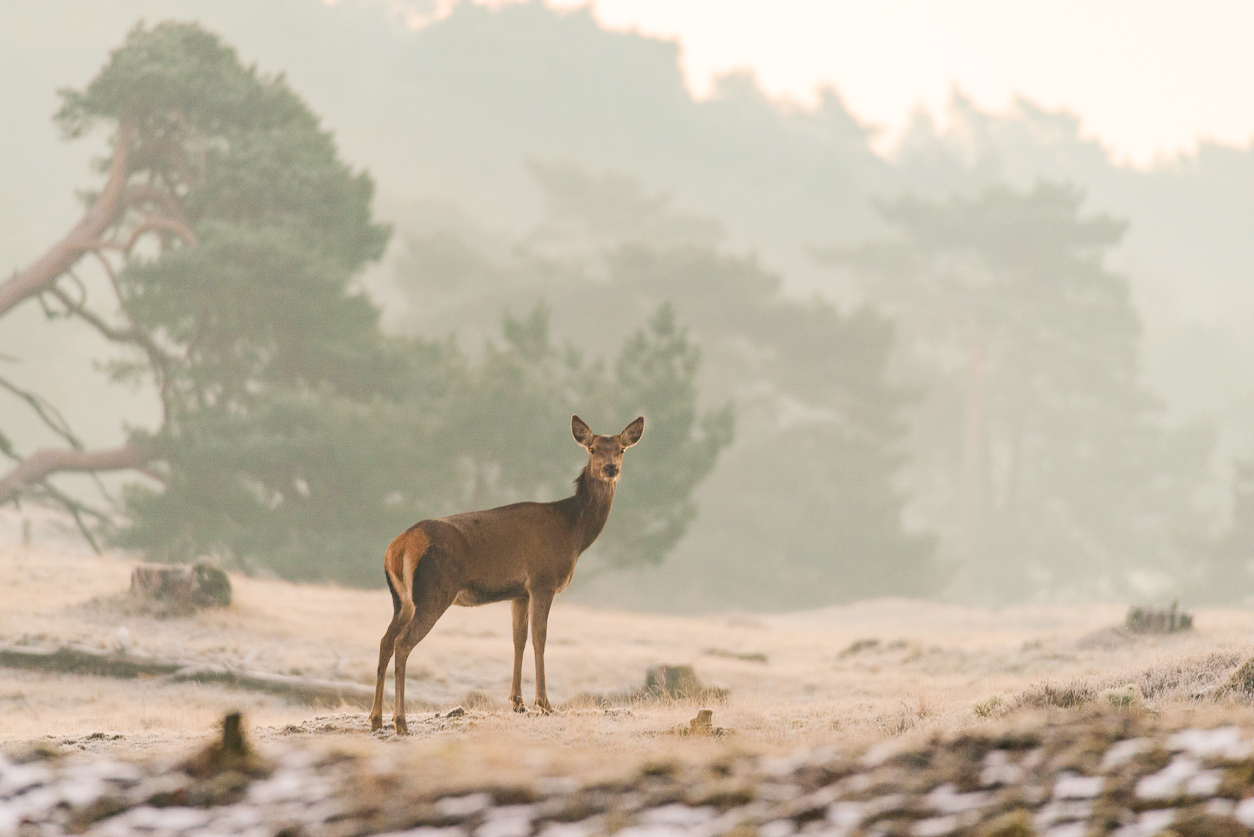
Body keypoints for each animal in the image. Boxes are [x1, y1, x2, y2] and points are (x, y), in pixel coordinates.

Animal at [368, 411, 647, 732]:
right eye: (592, 449)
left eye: (621, 449)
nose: (611, 468)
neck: (573, 533)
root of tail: (397, 548)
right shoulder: (542, 581)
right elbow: (540, 637)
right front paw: (544, 703)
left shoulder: (519, 592)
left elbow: (518, 638)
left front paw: (518, 702)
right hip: (433, 593)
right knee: (402, 643)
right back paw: (400, 721)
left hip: (401, 600)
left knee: (385, 641)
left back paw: (375, 718)